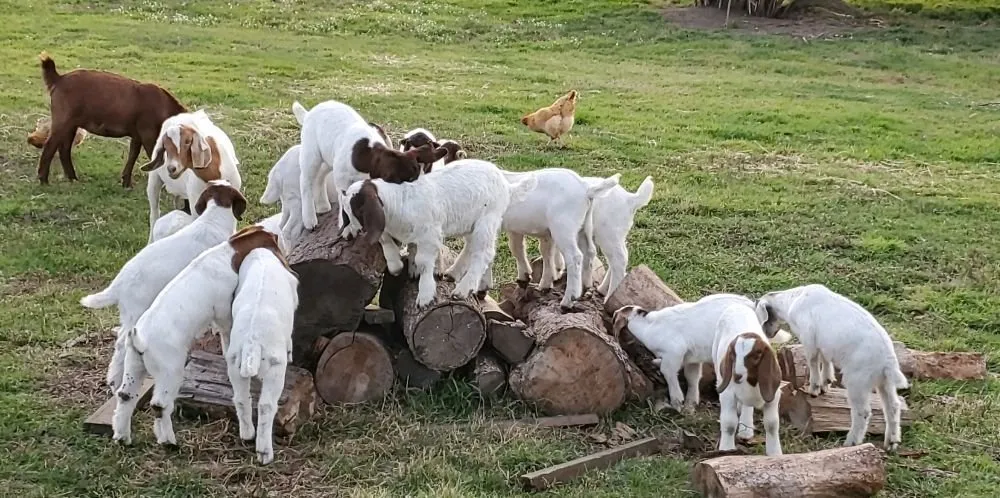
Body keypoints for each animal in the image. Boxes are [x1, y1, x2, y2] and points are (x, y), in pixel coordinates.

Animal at [35, 52, 186, 187]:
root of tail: (58, 79)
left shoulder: (138, 134)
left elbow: (133, 154)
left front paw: (126, 183)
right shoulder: (148, 132)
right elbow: (155, 157)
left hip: (72, 123)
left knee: (64, 148)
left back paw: (73, 179)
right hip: (63, 118)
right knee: (50, 145)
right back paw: (44, 181)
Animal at [755, 284, 908, 451]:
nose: (767, 335)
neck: (792, 301)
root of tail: (888, 362)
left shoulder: (809, 338)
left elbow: (813, 361)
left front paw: (813, 389)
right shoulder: (824, 344)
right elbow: (825, 358)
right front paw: (826, 383)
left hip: (857, 381)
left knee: (863, 412)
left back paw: (850, 442)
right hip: (884, 383)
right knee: (893, 406)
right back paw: (891, 443)